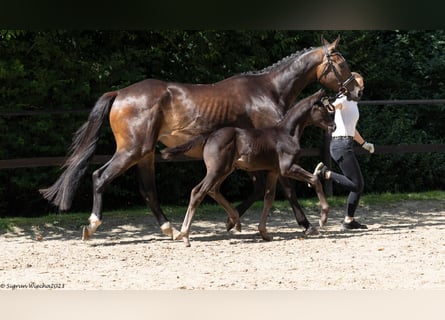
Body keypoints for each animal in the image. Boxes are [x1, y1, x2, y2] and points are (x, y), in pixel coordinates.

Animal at [161, 89, 334, 246]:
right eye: (324, 108)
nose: (333, 126)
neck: (287, 134)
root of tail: (209, 135)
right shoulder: (288, 168)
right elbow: (314, 179)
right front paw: (323, 218)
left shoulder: (274, 172)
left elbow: (269, 198)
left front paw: (264, 232)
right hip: (216, 170)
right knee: (198, 192)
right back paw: (185, 236)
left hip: (225, 169)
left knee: (213, 190)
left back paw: (235, 220)